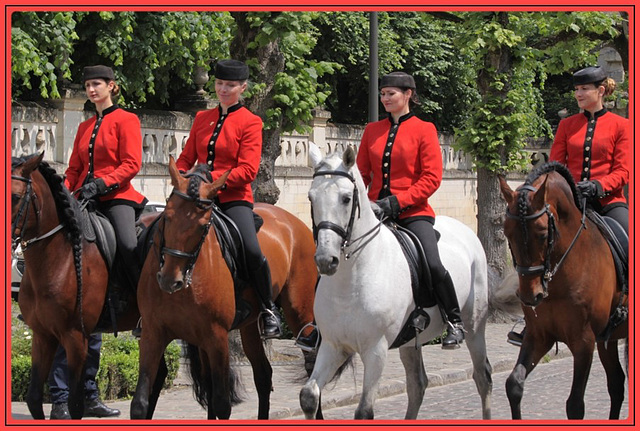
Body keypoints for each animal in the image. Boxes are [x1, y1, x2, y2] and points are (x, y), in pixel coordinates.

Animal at [10, 154, 161, 420]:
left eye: (16, 196)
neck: (60, 257)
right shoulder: (42, 335)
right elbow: (34, 399)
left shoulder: (75, 337)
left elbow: (75, 405)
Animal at [131, 157, 320, 420]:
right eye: (167, 217)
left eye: (202, 225)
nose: (170, 280)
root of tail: (294, 222)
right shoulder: (153, 333)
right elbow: (141, 403)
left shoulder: (216, 336)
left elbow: (221, 403)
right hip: (249, 327)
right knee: (263, 375)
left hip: (299, 312)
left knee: (312, 366)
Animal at [298, 143, 492, 420]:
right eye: (311, 197)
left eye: (346, 198)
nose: (326, 260)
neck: (350, 280)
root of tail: (465, 230)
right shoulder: (332, 345)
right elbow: (309, 397)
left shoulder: (375, 350)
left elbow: (364, 411)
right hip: (411, 340)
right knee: (417, 384)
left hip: (475, 325)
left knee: (482, 375)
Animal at [498, 161, 628, 418]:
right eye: (507, 232)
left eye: (542, 233)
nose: (530, 296)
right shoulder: (539, 335)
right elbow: (514, 385)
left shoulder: (584, 342)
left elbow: (575, 404)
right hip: (607, 339)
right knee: (616, 383)